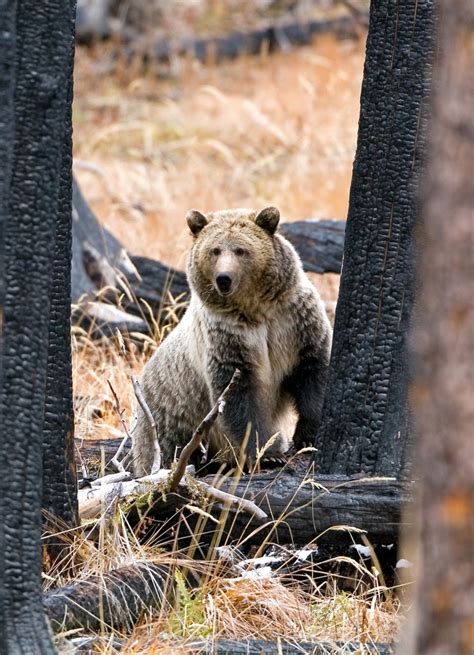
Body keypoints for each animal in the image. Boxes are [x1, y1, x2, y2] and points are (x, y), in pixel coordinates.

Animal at [132, 208, 334, 474]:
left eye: (241, 250)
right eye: (215, 250)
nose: (224, 278)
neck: (255, 310)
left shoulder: (295, 322)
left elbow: (313, 373)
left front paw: (306, 436)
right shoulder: (228, 339)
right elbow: (239, 397)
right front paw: (268, 455)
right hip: (170, 416)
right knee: (167, 449)